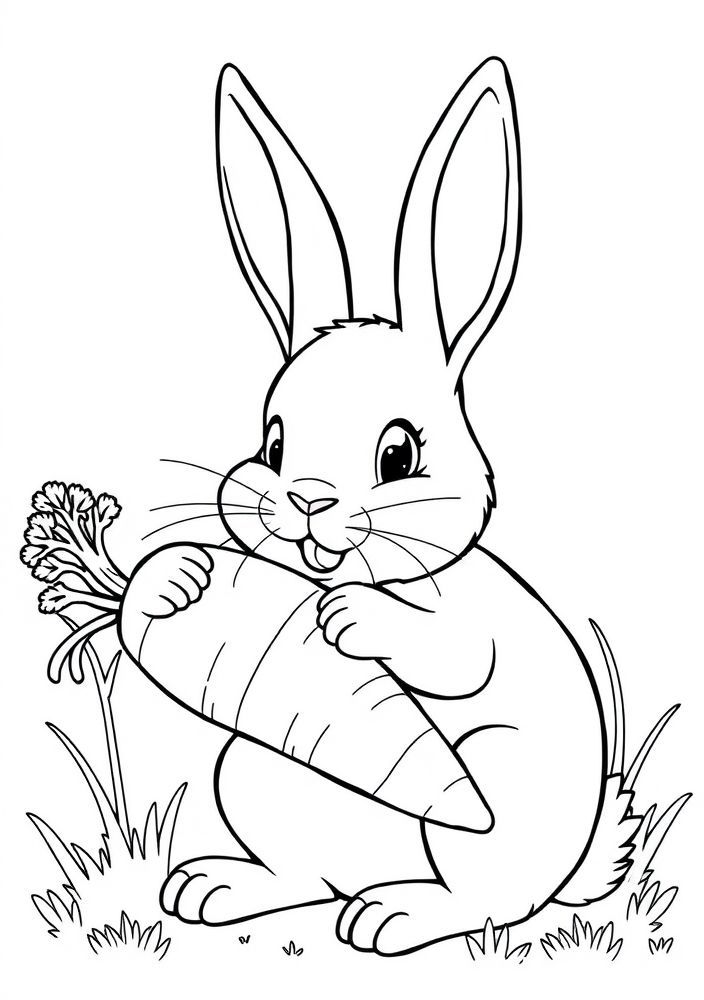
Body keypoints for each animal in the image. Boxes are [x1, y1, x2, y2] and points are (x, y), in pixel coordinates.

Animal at [120, 58, 619, 955]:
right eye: (274, 444)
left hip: (481, 806)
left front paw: (349, 619)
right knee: (302, 880)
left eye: (399, 455)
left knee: (485, 904)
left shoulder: (468, 622)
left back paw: (395, 915)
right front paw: (176, 582)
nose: (307, 499)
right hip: (252, 770)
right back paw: (216, 887)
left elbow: (454, 654)